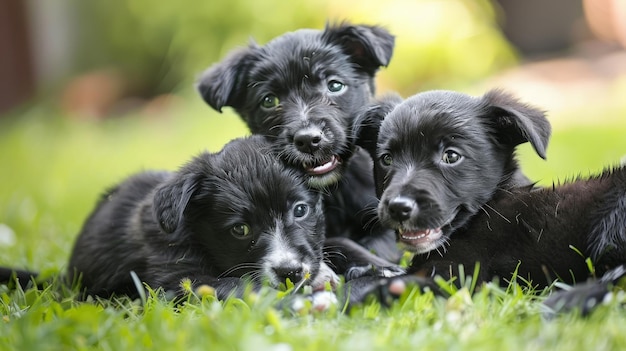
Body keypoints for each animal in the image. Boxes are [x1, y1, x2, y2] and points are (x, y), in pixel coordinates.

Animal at [352, 89, 624, 312]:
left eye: (451, 156)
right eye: (387, 159)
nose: (398, 208)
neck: (489, 205)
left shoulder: (461, 271)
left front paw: (382, 288)